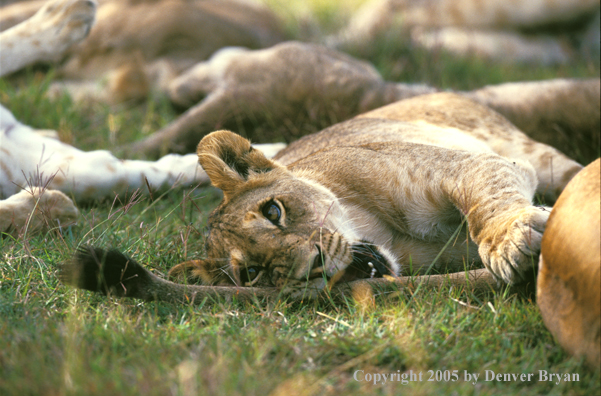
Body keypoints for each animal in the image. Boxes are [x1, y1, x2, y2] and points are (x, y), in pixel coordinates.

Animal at [62, 93, 580, 302]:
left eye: (273, 211)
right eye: (251, 274)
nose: (311, 267)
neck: (388, 235)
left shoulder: (474, 165)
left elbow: (488, 201)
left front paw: (509, 243)